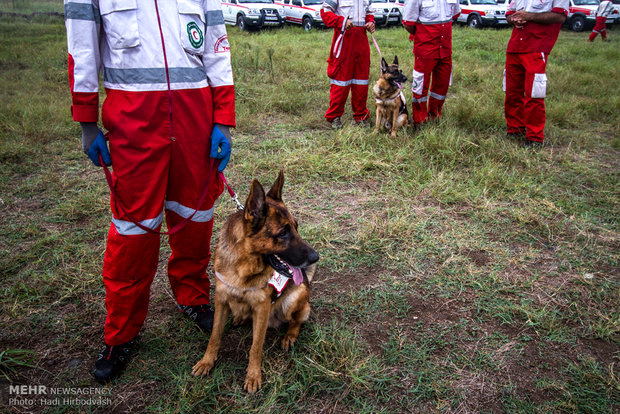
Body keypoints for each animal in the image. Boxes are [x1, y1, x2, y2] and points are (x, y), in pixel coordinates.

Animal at [191, 170, 320, 392]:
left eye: (297, 227)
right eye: (283, 233)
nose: (315, 257)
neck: (243, 266)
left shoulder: (262, 307)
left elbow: (256, 346)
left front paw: (253, 376)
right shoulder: (221, 300)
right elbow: (215, 336)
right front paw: (206, 362)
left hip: (293, 300)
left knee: (297, 320)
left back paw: (289, 336)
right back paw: (240, 318)